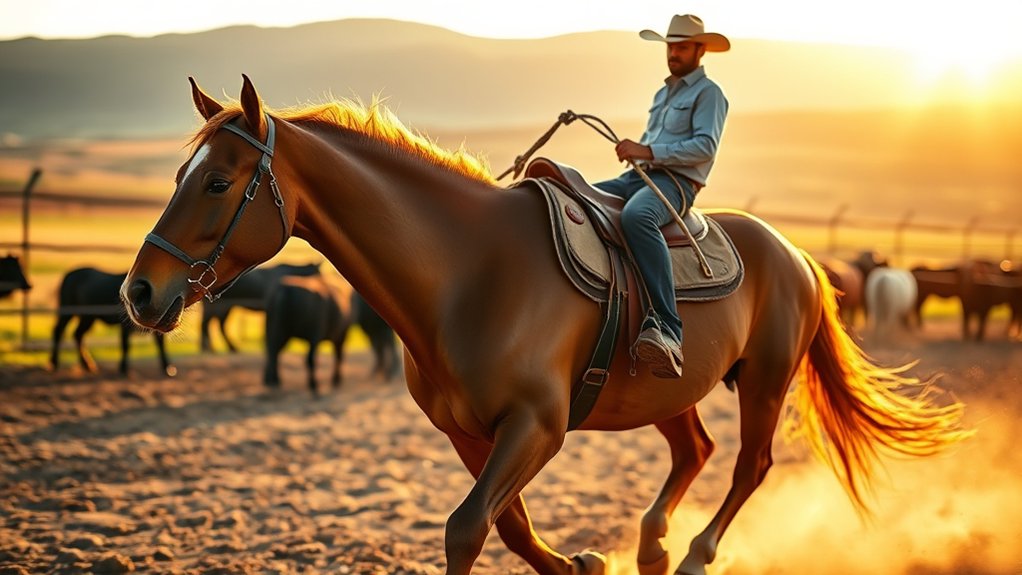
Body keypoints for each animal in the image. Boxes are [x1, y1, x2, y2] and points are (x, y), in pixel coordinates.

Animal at [119, 76, 970, 575]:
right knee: (694, 450)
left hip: (762, 381)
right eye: (183, 174)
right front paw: (580, 563)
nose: (139, 291)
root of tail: (794, 254)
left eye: (219, 180)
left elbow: (467, 529)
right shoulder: (471, 432)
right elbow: (511, 528)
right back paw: (651, 543)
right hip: (668, 391)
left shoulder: (539, 425)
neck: (468, 270)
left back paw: (693, 552)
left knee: (748, 464)